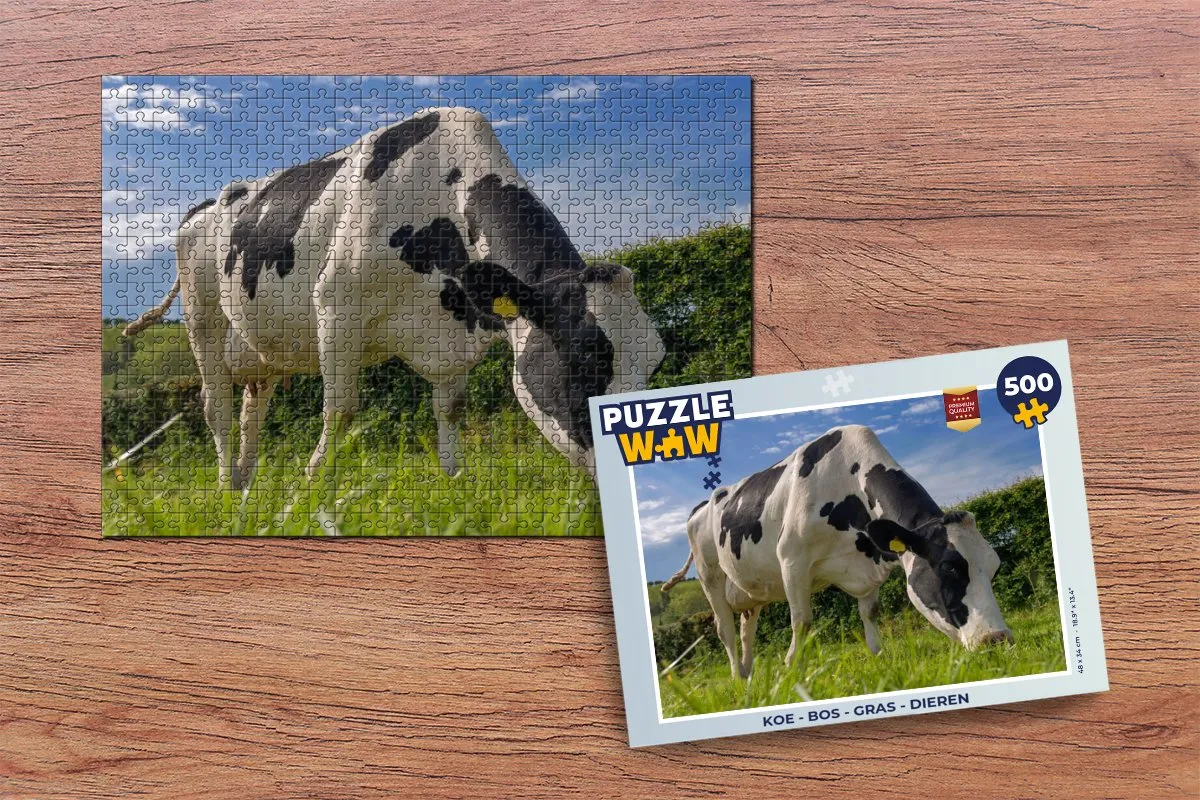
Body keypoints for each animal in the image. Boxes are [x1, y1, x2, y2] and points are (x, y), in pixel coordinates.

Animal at [123, 107, 665, 492]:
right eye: (585, 361)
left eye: (655, 363)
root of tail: (205, 205)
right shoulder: (337, 306)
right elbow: (341, 408)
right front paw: (314, 486)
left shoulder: (453, 329)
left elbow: (451, 408)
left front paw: (455, 484)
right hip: (203, 319)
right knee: (215, 403)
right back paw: (222, 488)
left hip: (261, 346)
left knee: (250, 407)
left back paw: (244, 489)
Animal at [661, 424, 1012, 680]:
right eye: (948, 567)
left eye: (995, 567)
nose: (998, 640)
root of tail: (703, 504)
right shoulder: (792, 559)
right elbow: (802, 621)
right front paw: (792, 669)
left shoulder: (870, 566)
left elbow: (870, 614)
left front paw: (878, 657)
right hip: (709, 574)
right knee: (726, 630)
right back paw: (737, 677)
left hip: (749, 587)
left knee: (748, 628)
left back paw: (749, 677)